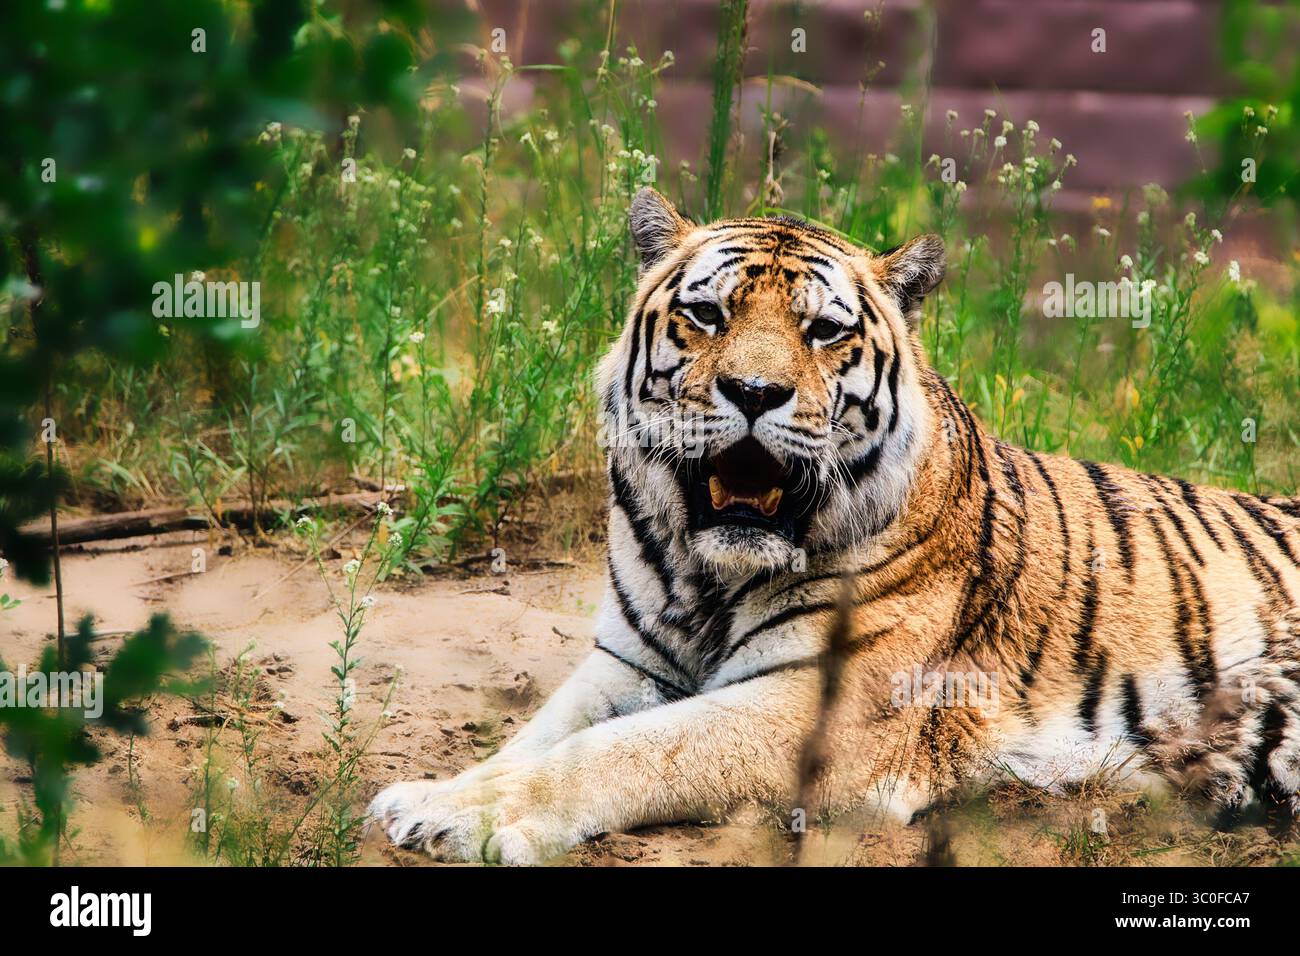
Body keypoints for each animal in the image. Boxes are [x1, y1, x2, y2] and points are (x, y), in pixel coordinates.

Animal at [369, 187, 1300, 864]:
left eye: (823, 332)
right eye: (708, 315)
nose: (753, 392)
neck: (705, 577)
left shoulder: (817, 708)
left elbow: (624, 752)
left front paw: (469, 819)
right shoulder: (626, 663)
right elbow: (535, 738)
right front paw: (438, 794)